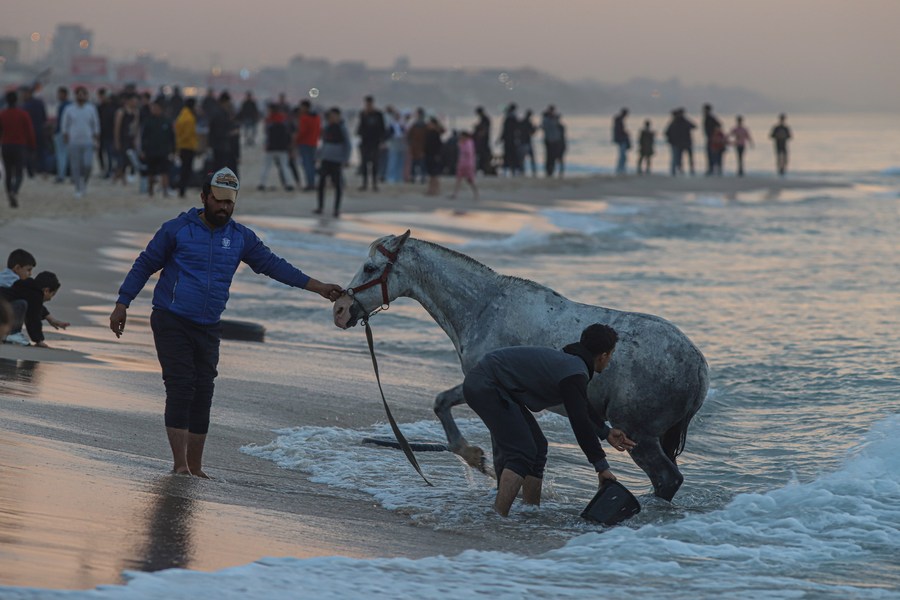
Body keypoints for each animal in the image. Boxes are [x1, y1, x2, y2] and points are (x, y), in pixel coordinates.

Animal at [334, 231, 708, 502]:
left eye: (370, 268)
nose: (341, 311)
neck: (483, 306)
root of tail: (699, 365)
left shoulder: (484, 385)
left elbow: (446, 408)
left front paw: (474, 457)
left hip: (639, 435)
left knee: (667, 479)